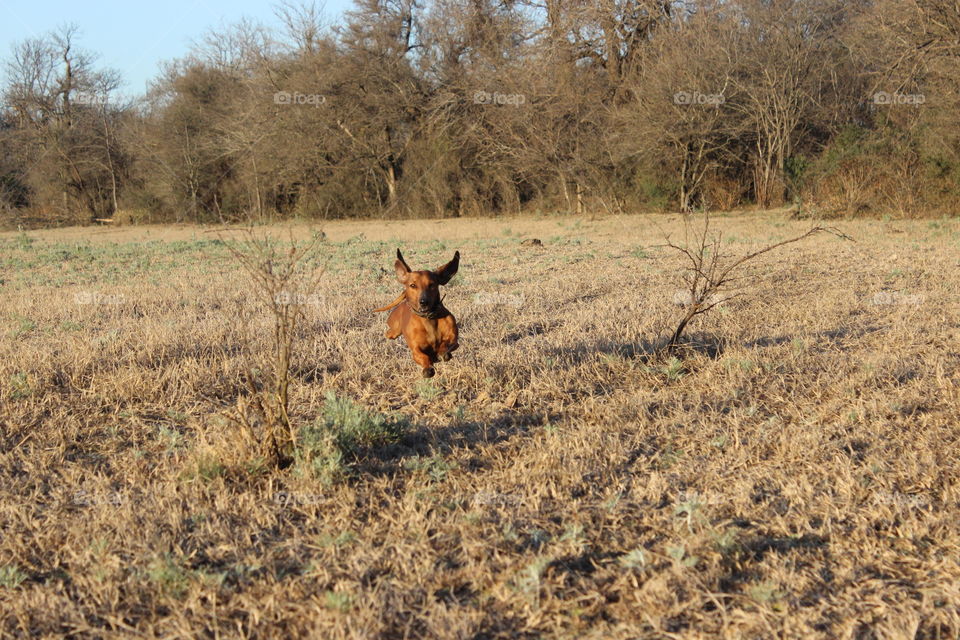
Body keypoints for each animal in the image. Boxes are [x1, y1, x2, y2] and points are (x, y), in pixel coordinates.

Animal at [374, 249, 460, 380]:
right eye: (413, 285)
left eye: (432, 284)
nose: (424, 302)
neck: (428, 319)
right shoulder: (415, 350)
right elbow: (423, 356)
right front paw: (428, 368)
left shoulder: (454, 339)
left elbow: (446, 344)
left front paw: (442, 353)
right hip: (394, 331)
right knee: (388, 333)